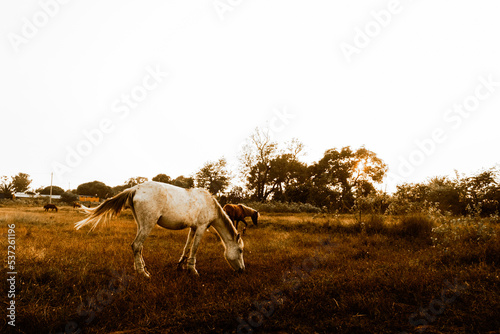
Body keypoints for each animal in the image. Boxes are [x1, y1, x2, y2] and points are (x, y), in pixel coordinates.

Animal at [75, 181, 245, 278]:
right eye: (241, 250)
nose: (242, 270)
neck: (209, 204)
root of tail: (135, 188)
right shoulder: (201, 228)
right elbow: (194, 249)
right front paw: (193, 270)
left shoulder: (193, 228)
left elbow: (187, 247)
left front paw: (181, 265)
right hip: (148, 224)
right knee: (136, 245)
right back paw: (143, 273)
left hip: (142, 224)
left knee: (139, 247)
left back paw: (141, 268)